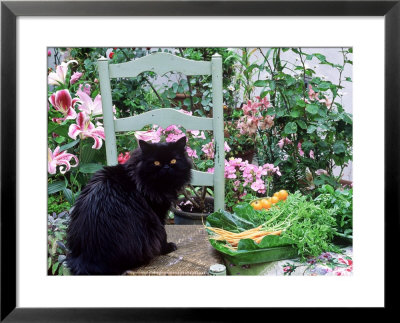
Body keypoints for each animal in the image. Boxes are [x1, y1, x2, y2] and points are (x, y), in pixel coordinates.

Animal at [65, 137, 192, 276]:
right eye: (156, 162)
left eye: (173, 160)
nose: (167, 166)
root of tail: (86, 258)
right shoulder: (157, 213)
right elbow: (163, 234)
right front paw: (167, 248)